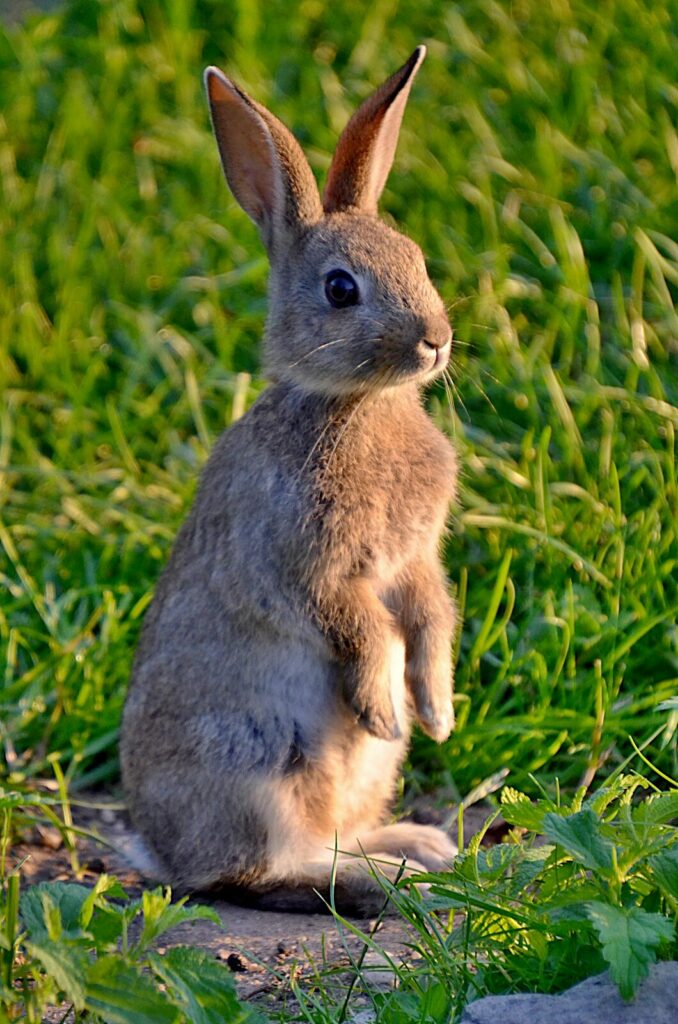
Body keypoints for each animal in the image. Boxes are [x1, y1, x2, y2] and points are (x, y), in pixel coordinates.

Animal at [120, 45, 459, 916]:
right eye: (341, 289)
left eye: (417, 260)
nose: (437, 340)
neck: (354, 404)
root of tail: (161, 850)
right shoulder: (312, 564)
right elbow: (360, 625)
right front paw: (384, 707)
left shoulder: (415, 560)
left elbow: (430, 616)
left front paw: (436, 713)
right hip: (257, 762)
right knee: (253, 873)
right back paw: (384, 881)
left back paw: (418, 849)